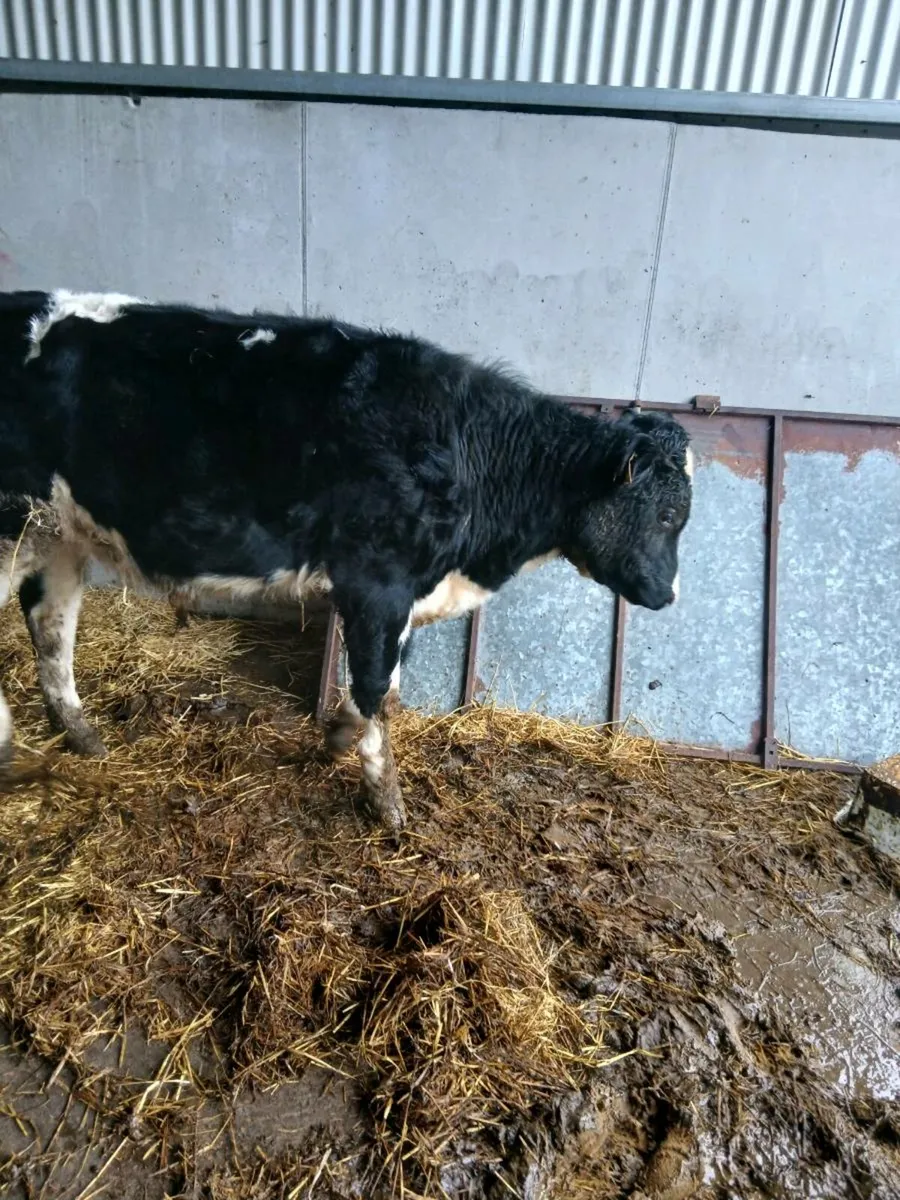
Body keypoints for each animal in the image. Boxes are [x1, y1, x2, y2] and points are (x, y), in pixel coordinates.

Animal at [0, 290, 693, 830]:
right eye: (666, 515)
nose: (669, 596)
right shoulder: (376, 583)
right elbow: (377, 687)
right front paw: (385, 800)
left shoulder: (404, 596)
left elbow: (387, 686)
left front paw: (339, 736)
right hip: (13, 527)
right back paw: (13, 749)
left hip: (55, 534)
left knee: (51, 627)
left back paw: (82, 737)